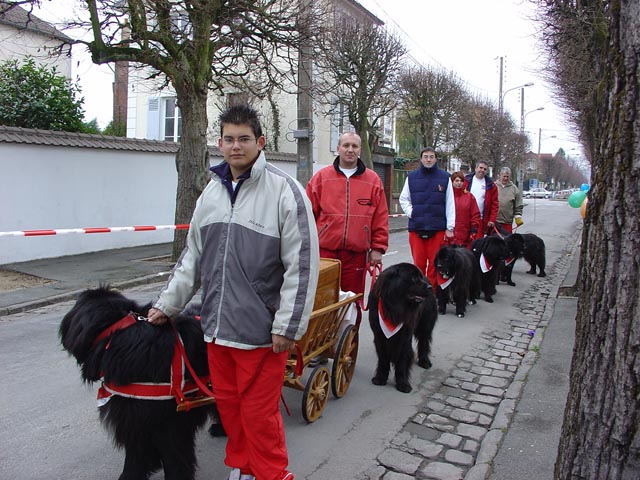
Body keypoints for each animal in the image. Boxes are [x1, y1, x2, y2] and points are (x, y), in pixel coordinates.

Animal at [368, 262, 438, 394]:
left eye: (419, 277)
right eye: (414, 278)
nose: (430, 287)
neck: (393, 308)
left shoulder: (404, 337)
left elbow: (402, 361)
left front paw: (403, 384)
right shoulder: (379, 336)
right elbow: (383, 359)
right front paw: (380, 378)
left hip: (426, 324)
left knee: (424, 342)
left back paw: (424, 361)